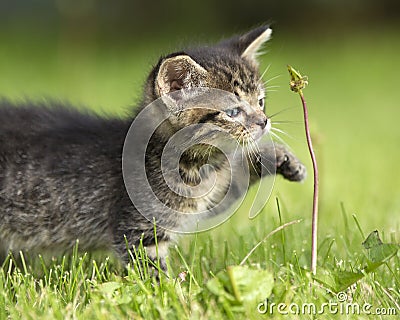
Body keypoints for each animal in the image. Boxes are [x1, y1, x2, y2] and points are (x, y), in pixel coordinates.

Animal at [0, 25, 306, 268]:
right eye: (232, 112)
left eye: (261, 102)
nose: (264, 121)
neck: (195, 164)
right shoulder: (139, 231)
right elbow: (152, 273)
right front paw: (176, 297)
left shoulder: (207, 196)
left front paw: (281, 158)